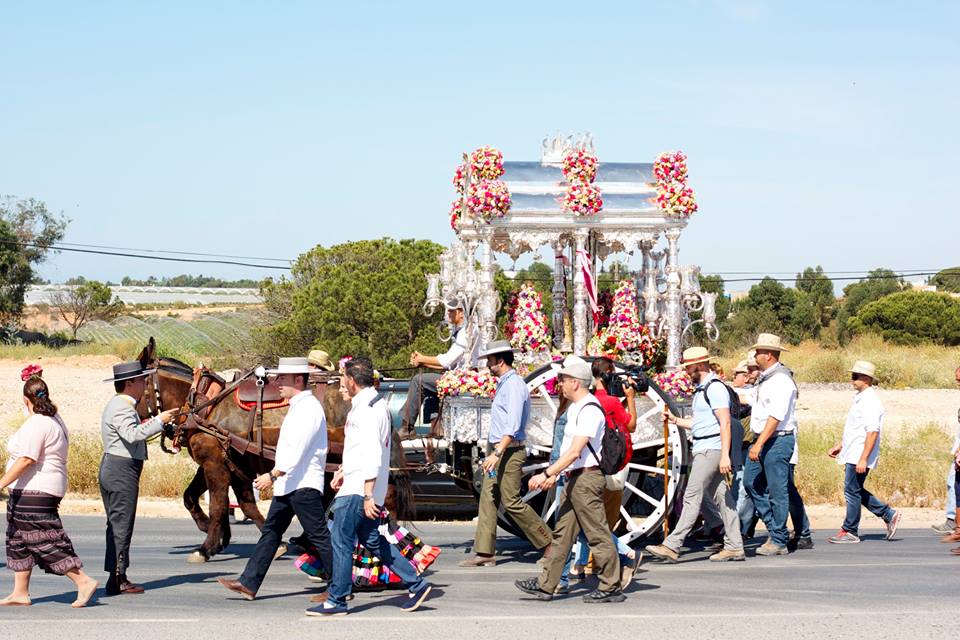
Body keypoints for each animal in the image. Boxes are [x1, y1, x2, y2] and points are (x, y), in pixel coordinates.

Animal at [133, 338, 415, 563]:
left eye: (132, 383)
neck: (205, 405)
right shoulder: (229, 464)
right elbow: (223, 501)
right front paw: (228, 537)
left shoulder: (214, 463)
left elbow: (218, 505)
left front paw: (206, 546)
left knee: (382, 494)